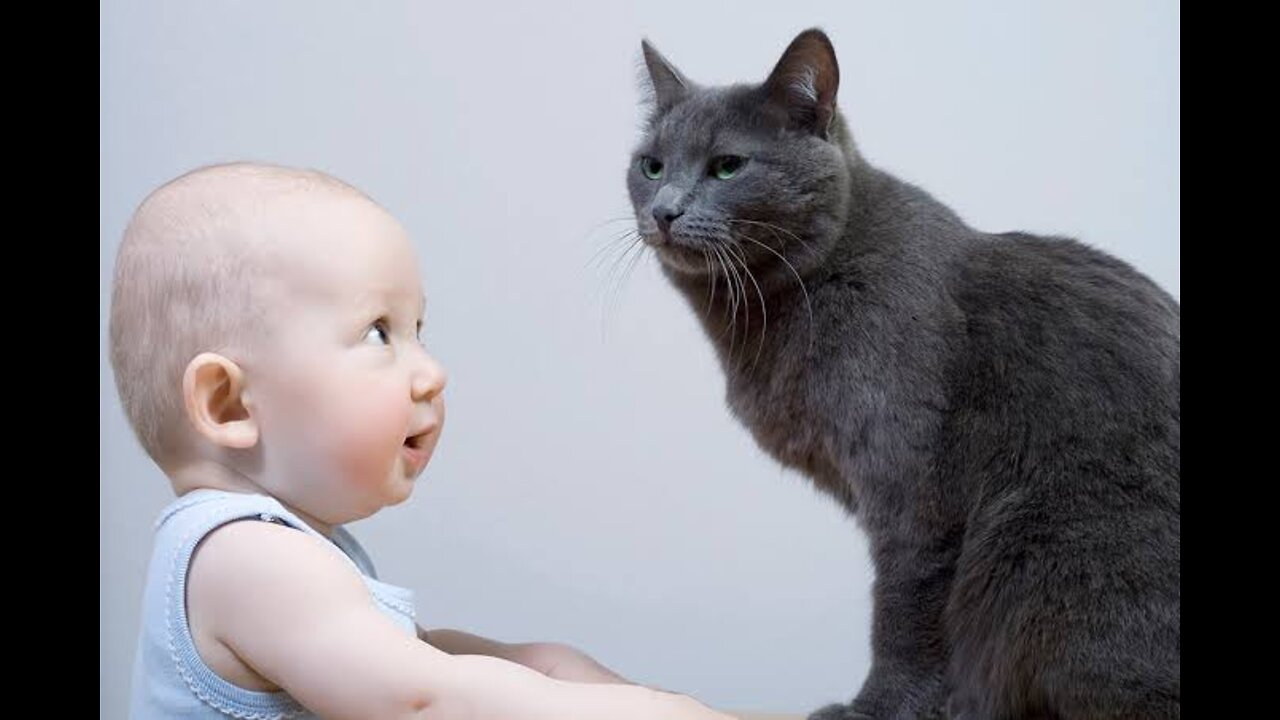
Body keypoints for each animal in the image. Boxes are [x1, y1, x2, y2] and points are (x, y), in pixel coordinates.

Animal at [624, 28, 1172, 717]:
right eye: (651, 166)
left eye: (727, 165)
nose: (665, 209)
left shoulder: (916, 491)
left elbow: (904, 615)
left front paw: (875, 708)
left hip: (1046, 550)